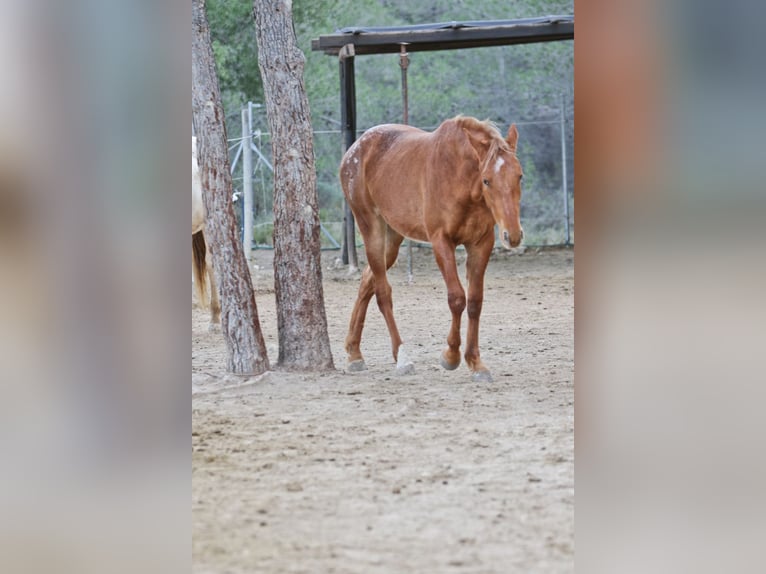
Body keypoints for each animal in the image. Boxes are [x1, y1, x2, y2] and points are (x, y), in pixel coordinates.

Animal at [340, 116, 524, 382]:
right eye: (487, 180)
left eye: (520, 176)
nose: (513, 235)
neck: (461, 179)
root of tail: (354, 150)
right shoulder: (441, 242)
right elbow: (457, 298)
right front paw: (451, 356)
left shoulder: (481, 243)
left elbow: (475, 301)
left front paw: (476, 363)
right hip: (371, 229)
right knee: (383, 292)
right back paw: (402, 357)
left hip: (392, 238)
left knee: (367, 282)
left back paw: (354, 353)